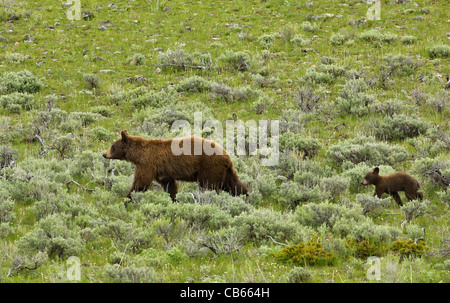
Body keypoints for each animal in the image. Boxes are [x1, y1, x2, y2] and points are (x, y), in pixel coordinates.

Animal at [102, 131, 248, 202]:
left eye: (112, 147)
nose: (104, 154)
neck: (140, 154)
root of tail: (227, 156)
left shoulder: (148, 164)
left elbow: (141, 182)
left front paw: (128, 198)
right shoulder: (162, 172)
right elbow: (169, 186)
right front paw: (173, 199)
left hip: (210, 167)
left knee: (209, 186)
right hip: (225, 171)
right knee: (234, 184)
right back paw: (246, 196)